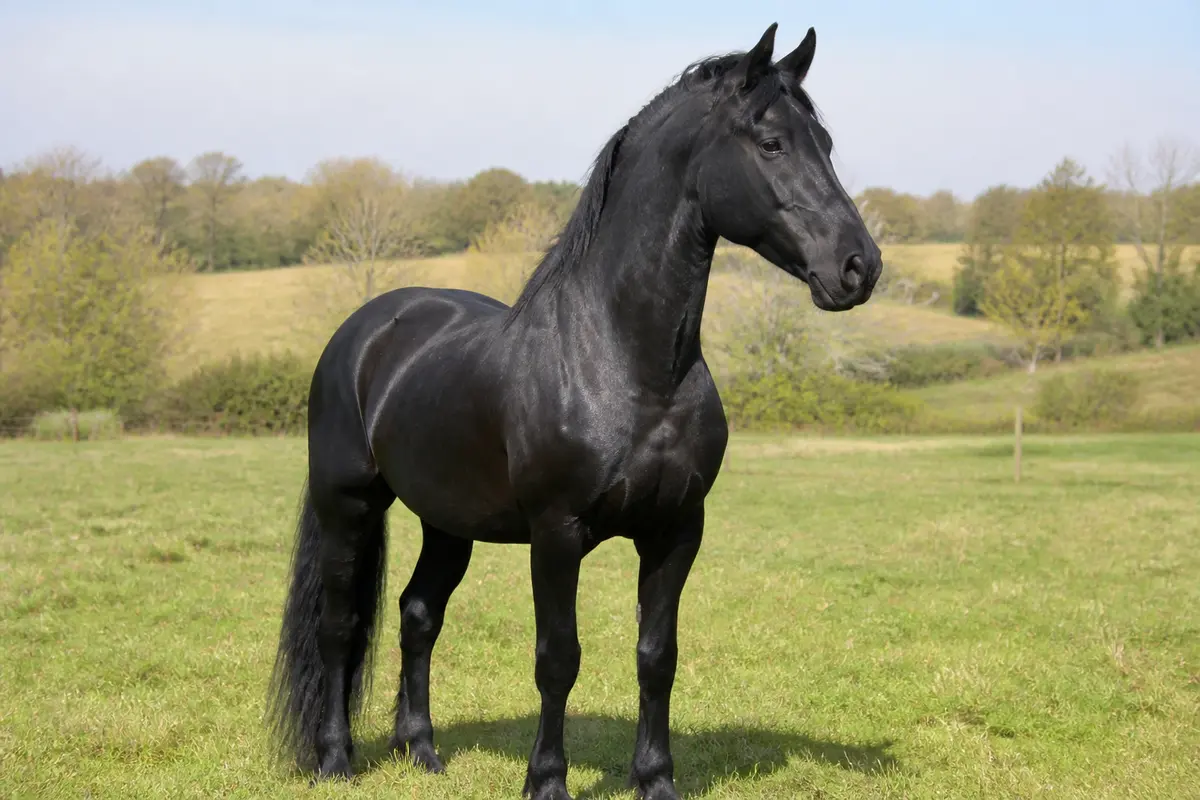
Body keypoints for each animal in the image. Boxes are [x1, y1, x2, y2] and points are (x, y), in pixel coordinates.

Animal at [267, 22, 883, 800]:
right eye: (772, 143)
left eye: (824, 144)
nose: (859, 267)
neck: (627, 362)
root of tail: (367, 329)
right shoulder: (557, 534)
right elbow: (558, 658)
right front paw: (547, 781)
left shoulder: (677, 531)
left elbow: (657, 655)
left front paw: (655, 780)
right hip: (348, 505)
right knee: (341, 625)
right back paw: (335, 759)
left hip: (447, 521)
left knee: (418, 615)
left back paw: (422, 751)